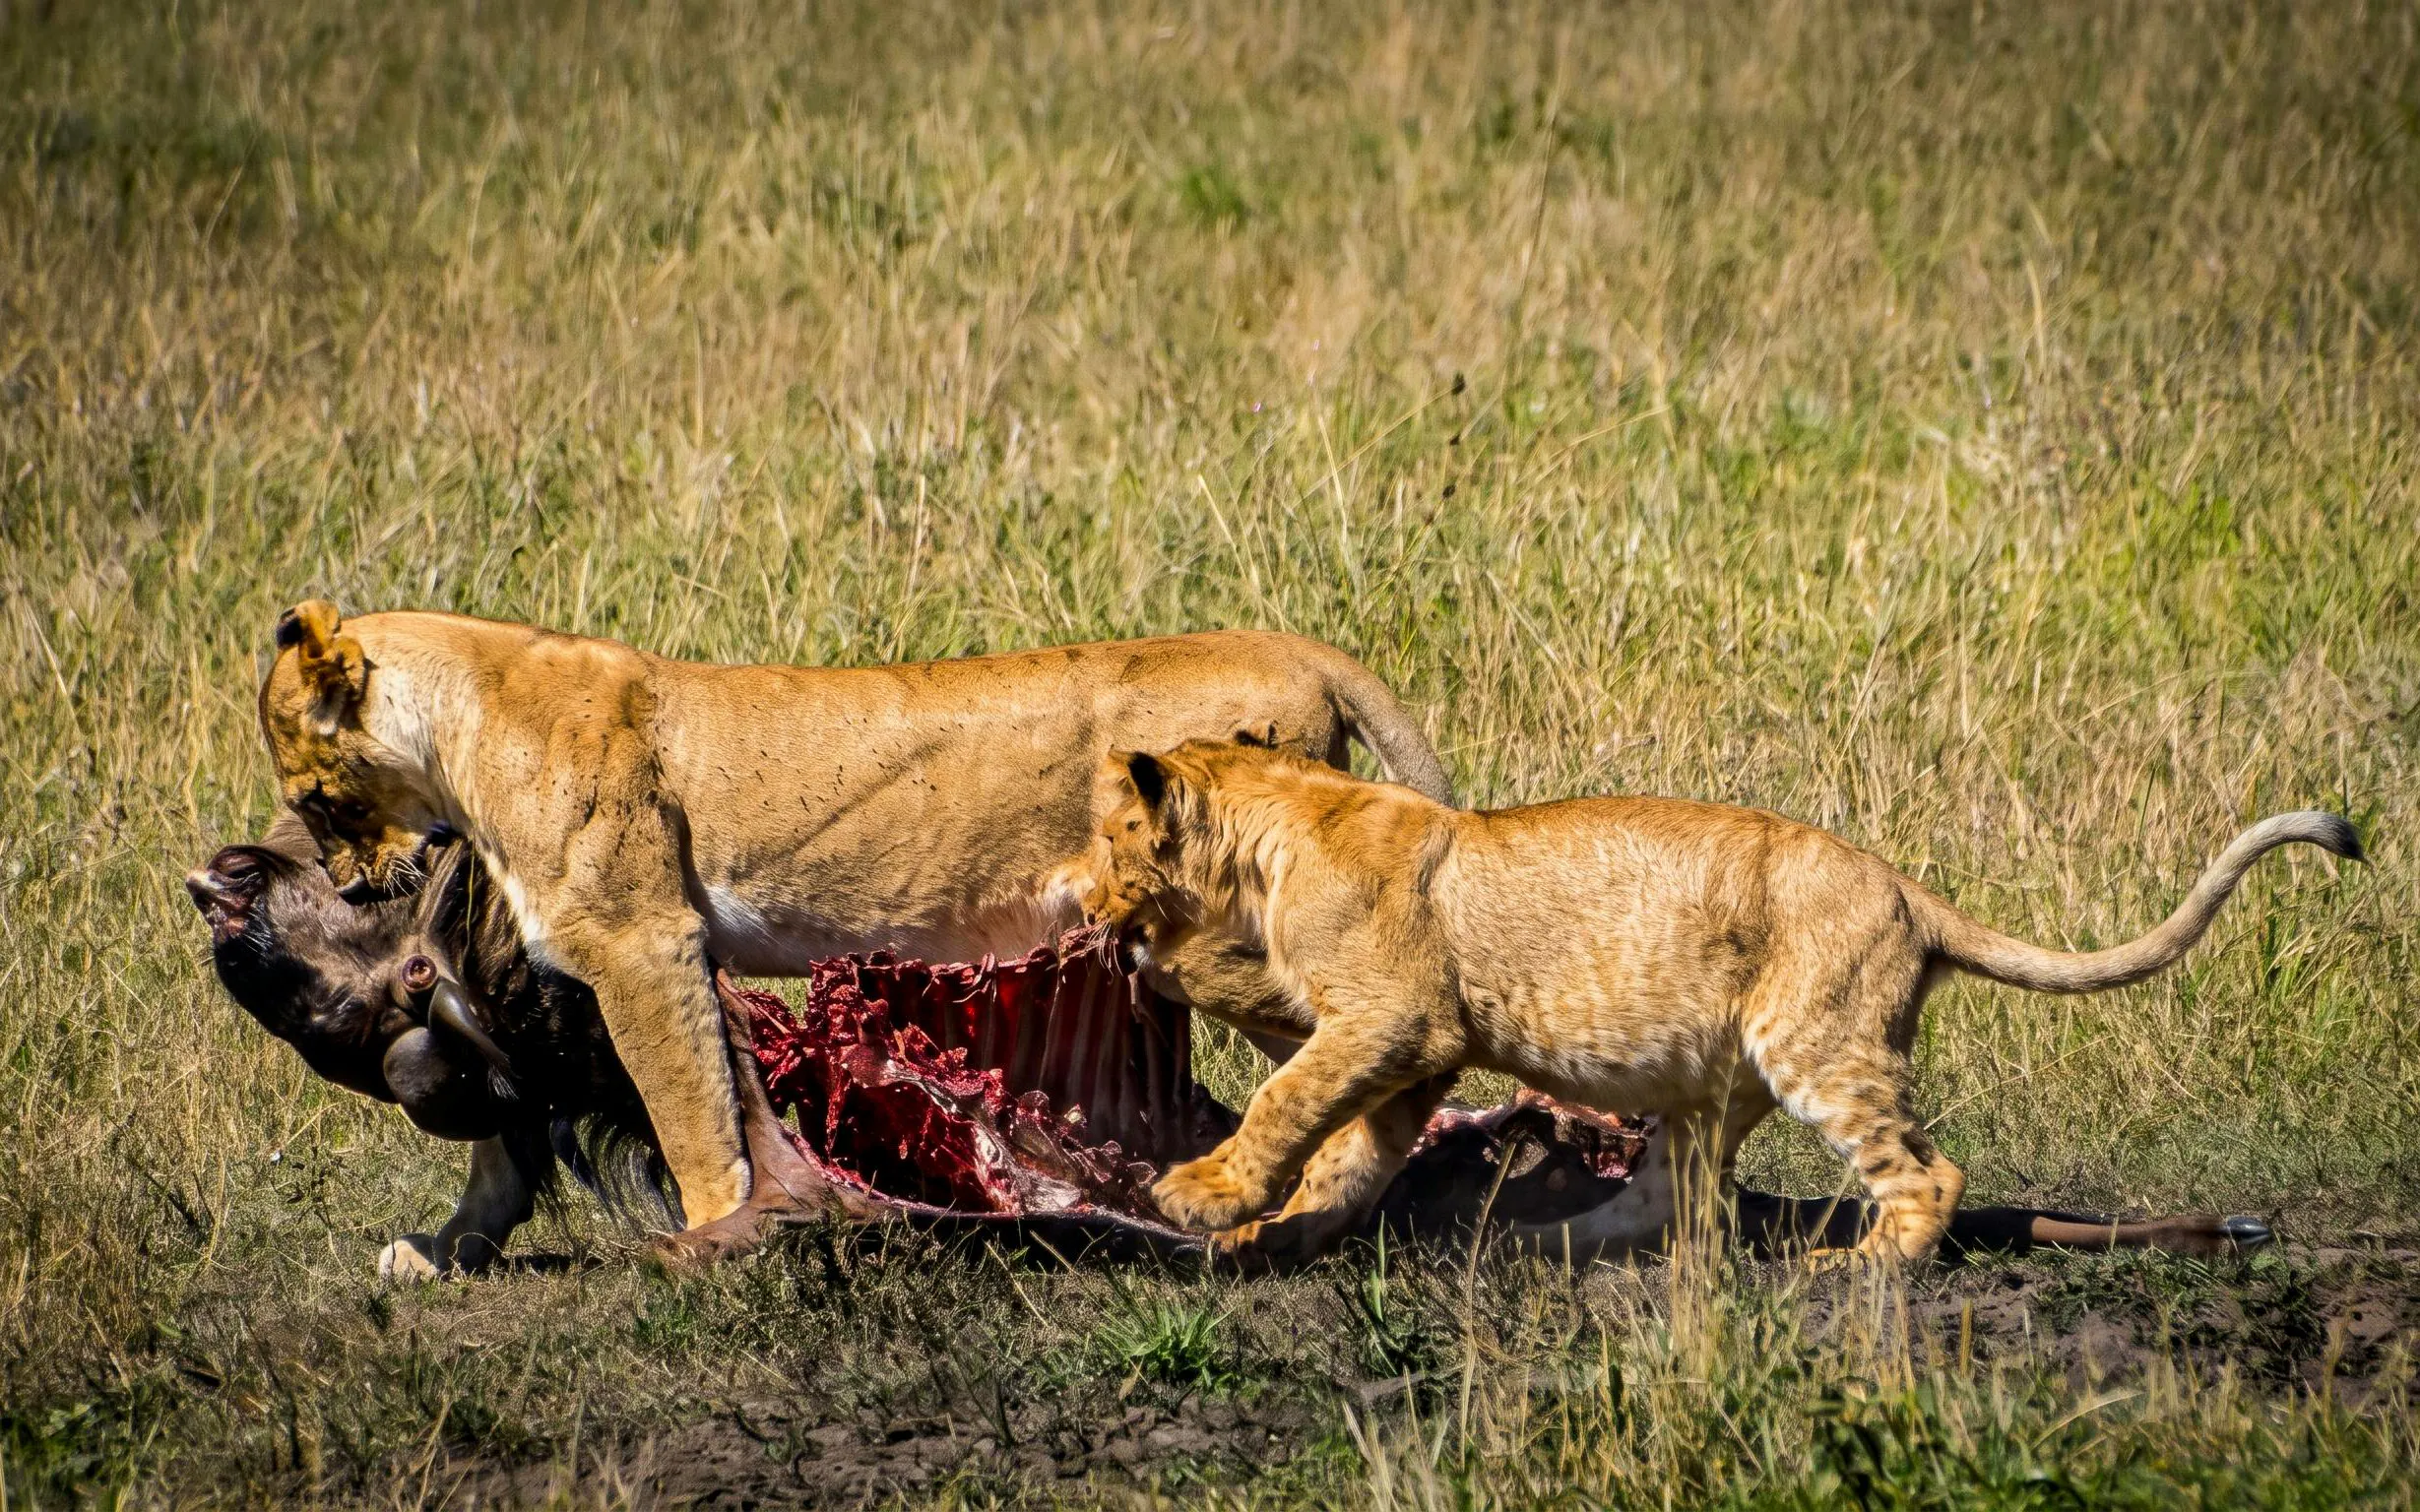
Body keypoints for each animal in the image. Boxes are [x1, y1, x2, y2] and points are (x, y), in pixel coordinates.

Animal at [253, 602, 1453, 1252]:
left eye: (314, 801)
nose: (354, 887)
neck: (458, 730)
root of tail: (1296, 648)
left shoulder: (643, 943)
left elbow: (692, 1117)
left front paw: (712, 1234)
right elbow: (503, 1142)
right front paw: (442, 1251)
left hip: (1221, 949)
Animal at [1071, 739, 2360, 1266]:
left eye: (1107, 830)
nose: (1073, 886)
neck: (1279, 815)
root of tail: (1907, 891)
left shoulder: (1391, 1017)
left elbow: (1289, 1101)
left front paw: (1200, 1196)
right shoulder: (1419, 1045)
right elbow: (1347, 1152)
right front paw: (1277, 1232)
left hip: (1816, 1040)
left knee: (1923, 1173)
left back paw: (1862, 1271)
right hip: (1709, 1079)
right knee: (1680, 1200)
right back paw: (1540, 1240)